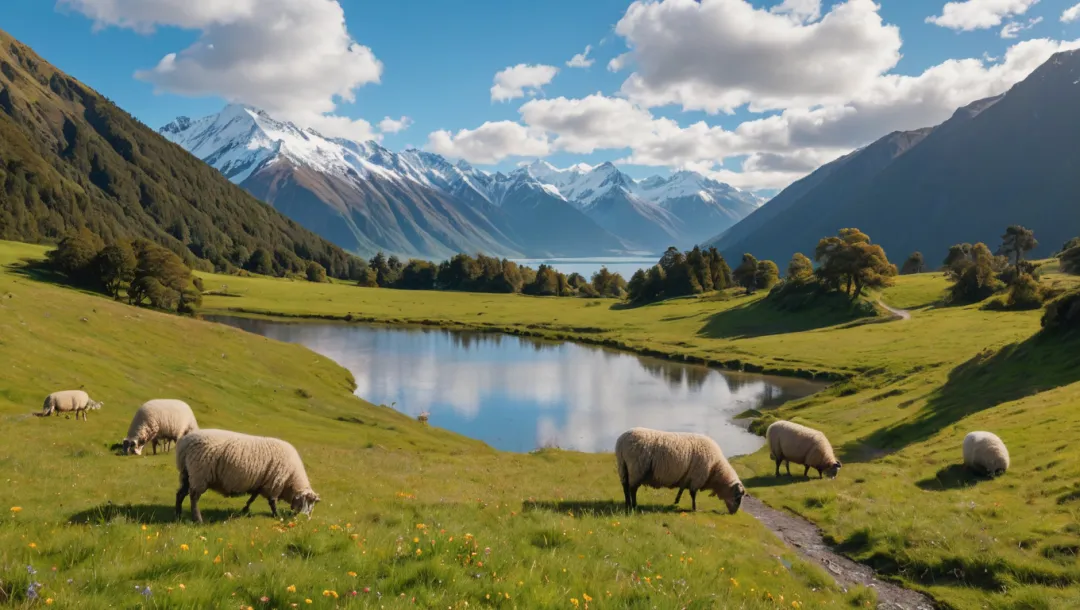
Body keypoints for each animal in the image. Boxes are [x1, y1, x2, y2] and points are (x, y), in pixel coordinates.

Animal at [173, 427, 319, 522]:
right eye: (308, 502)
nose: (305, 518)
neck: (291, 480)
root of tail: (185, 443)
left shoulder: (261, 483)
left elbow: (253, 497)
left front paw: (245, 509)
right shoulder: (274, 484)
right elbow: (272, 502)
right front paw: (277, 515)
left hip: (187, 473)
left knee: (180, 493)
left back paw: (179, 515)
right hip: (200, 473)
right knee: (194, 497)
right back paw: (197, 519)